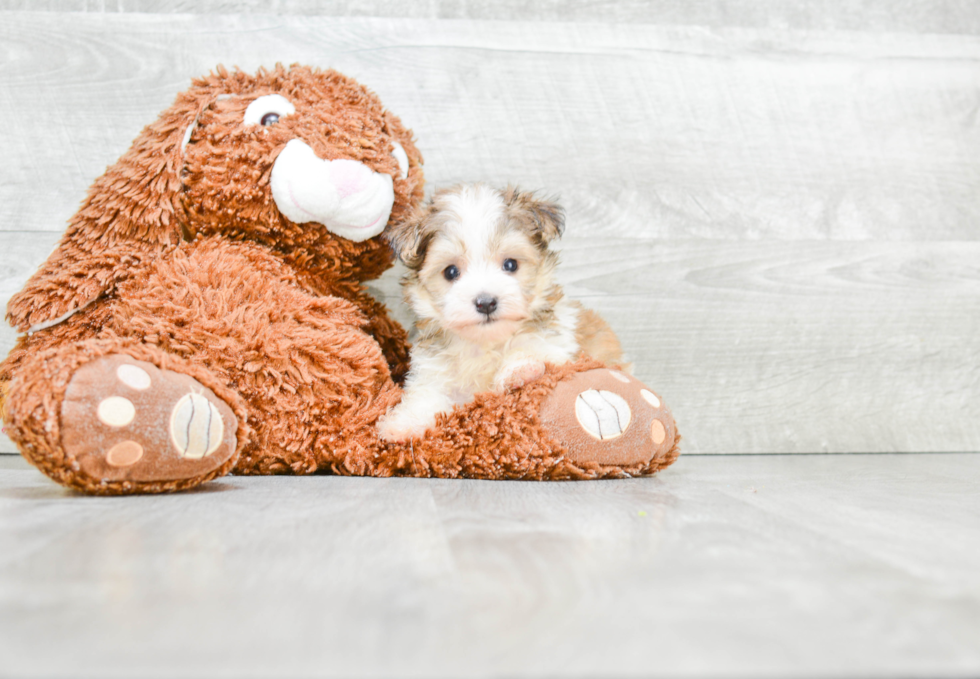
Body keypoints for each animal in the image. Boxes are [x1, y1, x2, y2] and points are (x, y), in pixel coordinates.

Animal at [378, 183, 624, 444]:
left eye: (510, 265)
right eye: (451, 272)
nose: (486, 303)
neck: (485, 343)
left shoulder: (556, 344)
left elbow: (536, 350)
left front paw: (519, 371)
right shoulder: (433, 370)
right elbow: (426, 394)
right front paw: (403, 423)